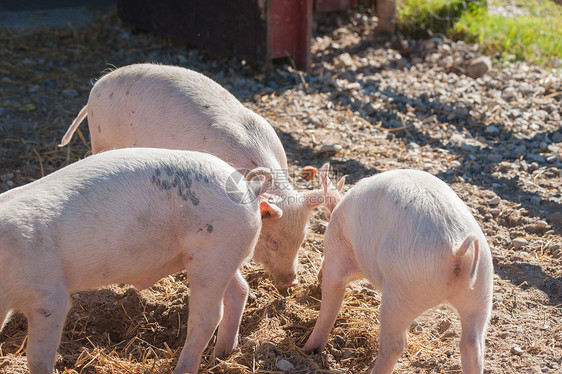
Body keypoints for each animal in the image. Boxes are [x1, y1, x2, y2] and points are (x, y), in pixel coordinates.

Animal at [0, 148, 274, 374]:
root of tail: (249, 188)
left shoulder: (48, 295)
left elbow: (38, 355)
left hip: (212, 255)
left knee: (207, 316)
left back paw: (185, 368)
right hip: (223, 255)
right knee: (239, 290)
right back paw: (222, 355)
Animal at [304, 167, 492, 374]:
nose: (318, 278)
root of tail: (457, 248)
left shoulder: (338, 254)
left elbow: (331, 301)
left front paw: (309, 351)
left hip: (402, 293)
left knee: (395, 345)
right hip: (481, 289)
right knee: (473, 344)